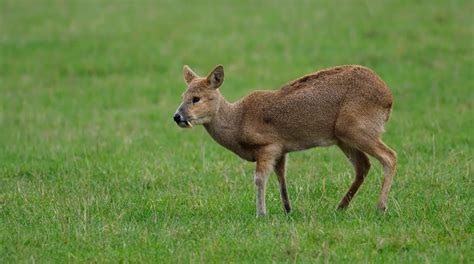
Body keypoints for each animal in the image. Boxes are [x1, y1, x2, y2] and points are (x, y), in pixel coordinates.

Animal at [173, 64, 396, 217]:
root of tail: (388, 98)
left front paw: (261, 213)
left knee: (390, 157)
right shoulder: (282, 149)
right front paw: (288, 209)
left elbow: (260, 179)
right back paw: (341, 206)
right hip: (344, 137)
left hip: (357, 129)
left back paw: (380, 207)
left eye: (196, 98)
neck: (237, 121)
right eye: (182, 95)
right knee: (363, 166)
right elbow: (281, 177)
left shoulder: (267, 146)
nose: (177, 116)